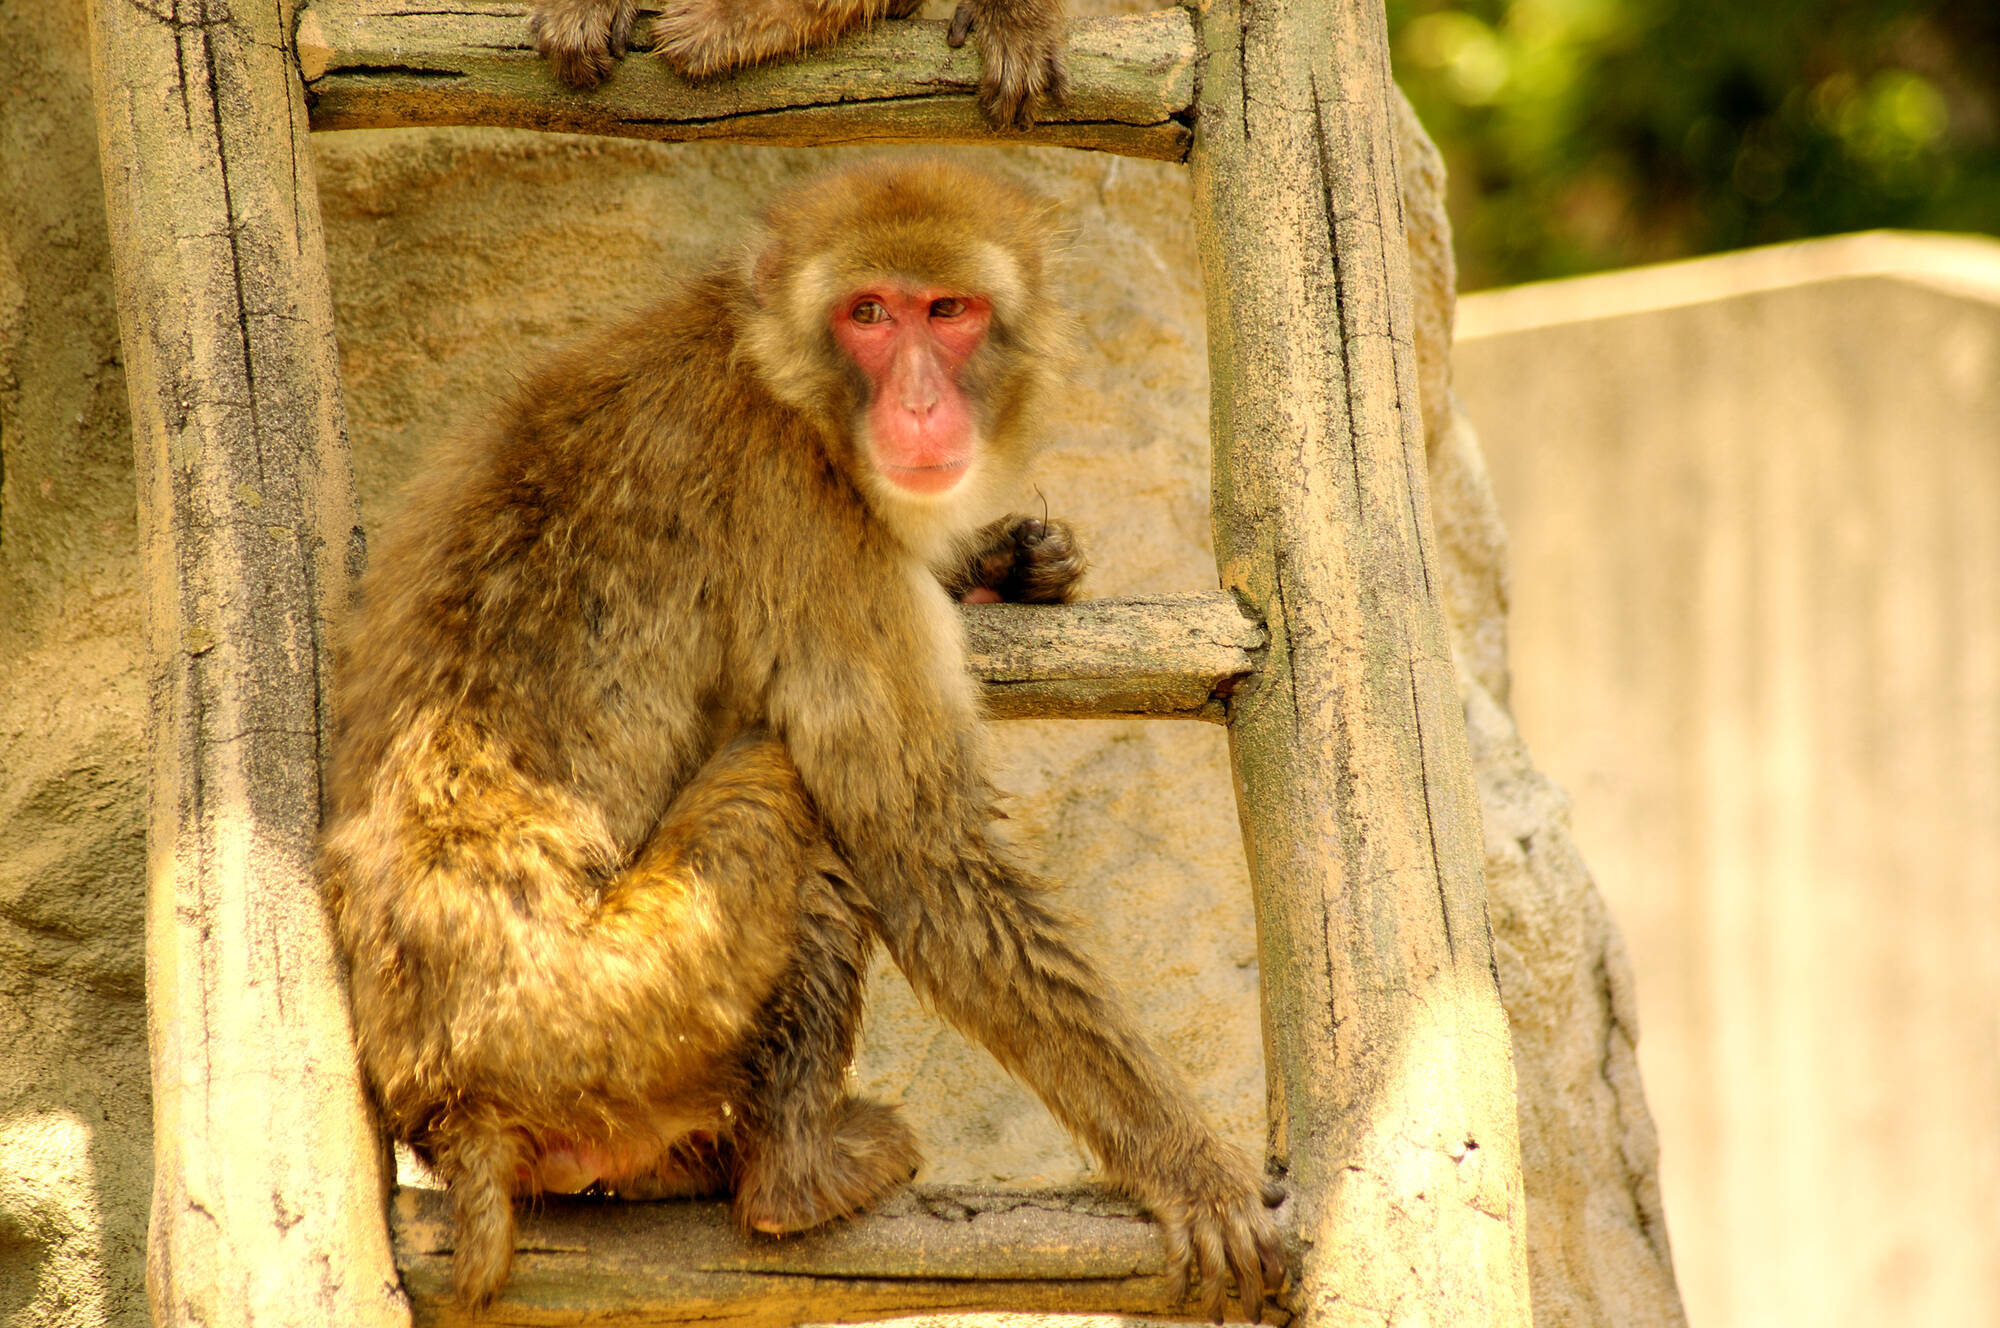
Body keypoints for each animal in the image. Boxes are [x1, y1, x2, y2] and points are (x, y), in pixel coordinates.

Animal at [320, 158, 1284, 1321]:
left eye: (946, 311)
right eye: (866, 315)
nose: (918, 404)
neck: (784, 379)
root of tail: (449, 1107)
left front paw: (1009, 560)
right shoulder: (811, 514)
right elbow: (928, 860)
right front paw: (1187, 1164)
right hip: (609, 1019)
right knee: (787, 786)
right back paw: (798, 1177)